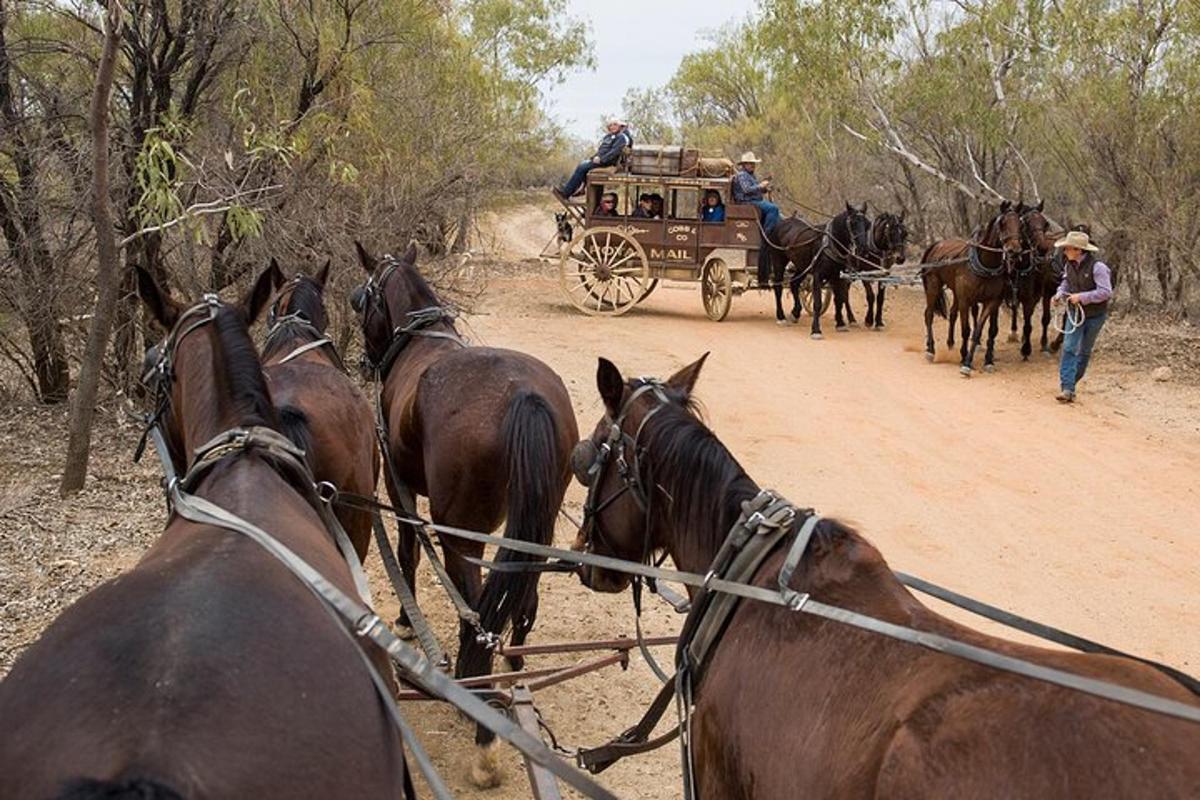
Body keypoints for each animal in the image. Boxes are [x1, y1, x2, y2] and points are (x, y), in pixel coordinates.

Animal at [350, 239, 578, 786]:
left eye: (360, 299)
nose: (366, 361)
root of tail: (523, 395)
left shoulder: (400, 489)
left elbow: (408, 554)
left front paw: (405, 619)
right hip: (534, 527)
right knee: (522, 595)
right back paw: (512, 664)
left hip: (462, 535)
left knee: (476, 608)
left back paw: (477, 707)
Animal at [916, 200, 1022, 376]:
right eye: (1002, 223)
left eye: (1020, 223)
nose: (1014, 250)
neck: (985, 264)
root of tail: (936, 245)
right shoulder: (966, 300)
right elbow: (966, 329)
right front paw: (964, 359)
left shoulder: (992, 301)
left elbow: (979, 330)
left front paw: (984, 361)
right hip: (933, 286)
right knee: (928, 314)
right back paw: (930, 349)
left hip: (955, 291)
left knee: (952, 313)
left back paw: (949, 343)